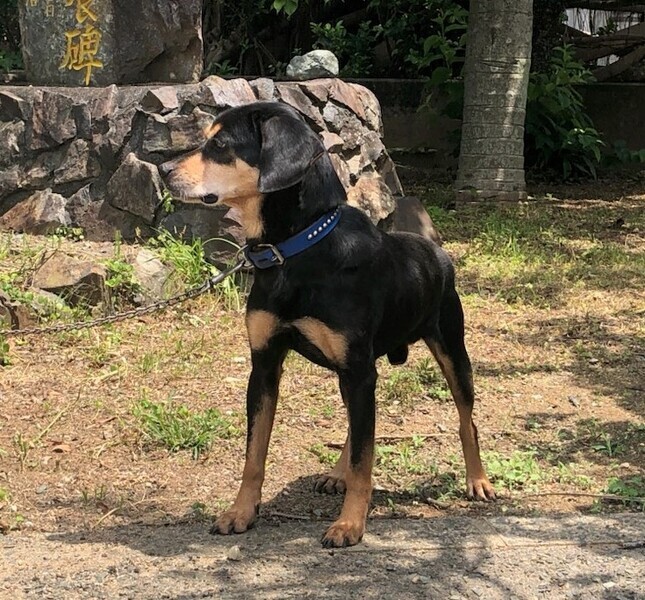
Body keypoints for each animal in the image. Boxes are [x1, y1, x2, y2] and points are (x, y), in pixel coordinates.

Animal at [160, 101, 495, 548]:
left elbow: (364, 459)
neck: (295, 250)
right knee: (357, 428)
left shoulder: (359, 371)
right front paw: (241, 512)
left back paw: (478, 481)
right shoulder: (265, 365)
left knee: (465, 420)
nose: (163, 169)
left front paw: (350, 524)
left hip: (452, 352)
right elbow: (255, 454)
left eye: (221, 144)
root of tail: (437, 253)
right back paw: (337, 473)